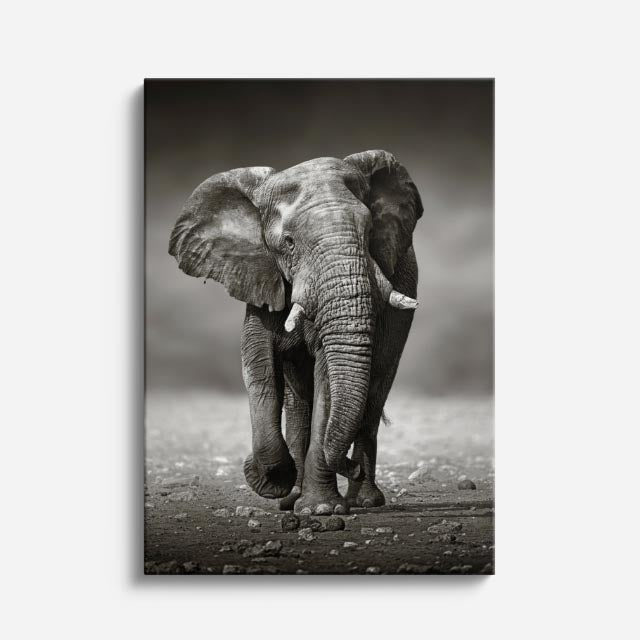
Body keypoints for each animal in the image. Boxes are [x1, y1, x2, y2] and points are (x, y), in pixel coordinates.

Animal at [169, 150, 422, 515]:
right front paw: (272, 481)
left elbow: (327, 378)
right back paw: (293, 498)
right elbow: (258, 368)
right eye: (288, 243)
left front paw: (321, 510)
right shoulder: (260, 276)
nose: (349, 467)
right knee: (298, 402)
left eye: (370, 231)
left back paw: (363, 500)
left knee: (374, 393)